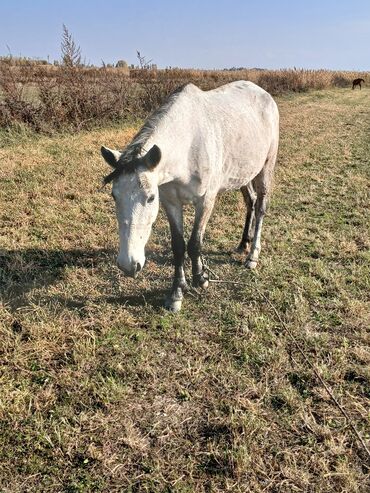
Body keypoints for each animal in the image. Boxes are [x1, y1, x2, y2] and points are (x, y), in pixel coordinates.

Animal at [99, 80, 278, 312]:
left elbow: (194, 243)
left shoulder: (205, 202)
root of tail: (263, 92)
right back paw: (243, 244)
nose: (129, 265)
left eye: (150, 198)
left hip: (265, 168)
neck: (188, 146)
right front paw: (177, 293)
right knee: (251, 202)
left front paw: (200, 279)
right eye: (114, 196)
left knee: (260, 207)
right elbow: (178, 246)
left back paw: (252, 256)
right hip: (243, 174)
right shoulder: (171, 203)